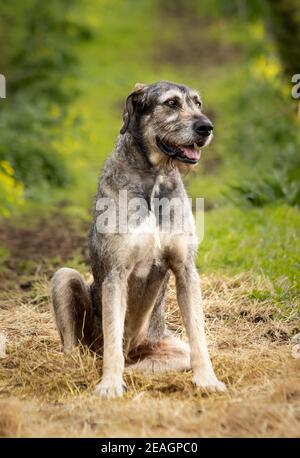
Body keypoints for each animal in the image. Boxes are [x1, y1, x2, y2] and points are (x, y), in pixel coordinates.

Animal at [50, 81, 226, 398]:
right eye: (171, 103)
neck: (154, 176)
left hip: (163, 345)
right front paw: (109, 384)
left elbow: (198, 336)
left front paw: (207, 380)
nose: (206, 127)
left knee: (158, 358)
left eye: (198, 103)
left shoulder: (186, 270)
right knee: (82, 348)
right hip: (65, 280)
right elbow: (112, 340)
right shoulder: (116, 272)